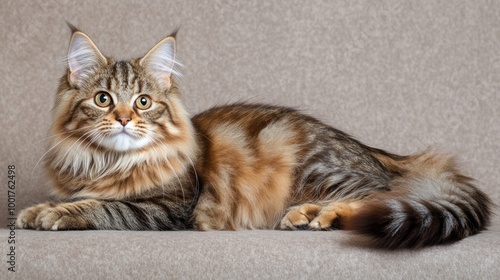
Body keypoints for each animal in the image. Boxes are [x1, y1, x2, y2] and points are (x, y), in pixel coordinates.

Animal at [16, 25, 492, 249]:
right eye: (103, 99)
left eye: (144, 102)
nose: (122, 119)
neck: (109, 162)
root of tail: (379, 151)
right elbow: (78, 198)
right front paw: (38, 209)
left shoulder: (169, 209)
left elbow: (101, 207)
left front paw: (53, 215)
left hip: (321, 166)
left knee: (385, 195)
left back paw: (317, 215)